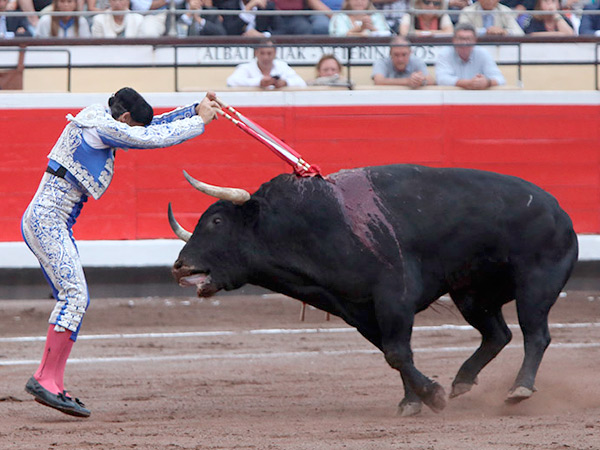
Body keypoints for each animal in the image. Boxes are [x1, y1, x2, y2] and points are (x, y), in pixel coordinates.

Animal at [168, 163, 576, 416]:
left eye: (217, 221)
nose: (180, 266)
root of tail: (559, 210)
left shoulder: (394, 298)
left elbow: (396, 352)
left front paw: (432, 397)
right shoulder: (359, 311)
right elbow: (394, 353)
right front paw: (414, 401)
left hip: (535, 282)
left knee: (535, 335)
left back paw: (518, 390)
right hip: (472, 295)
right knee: (498, 334)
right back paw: (462, 381)